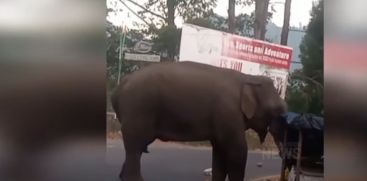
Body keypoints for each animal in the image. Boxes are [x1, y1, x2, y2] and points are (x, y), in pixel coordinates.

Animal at [112, 61, 288, 181]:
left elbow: (219, 153)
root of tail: (119, 87)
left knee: (135, 149)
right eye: (278, 110)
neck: (248, 77)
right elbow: (237, 150)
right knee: (135, 148)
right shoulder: (228, 111)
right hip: (137, 109)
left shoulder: (222, 119)